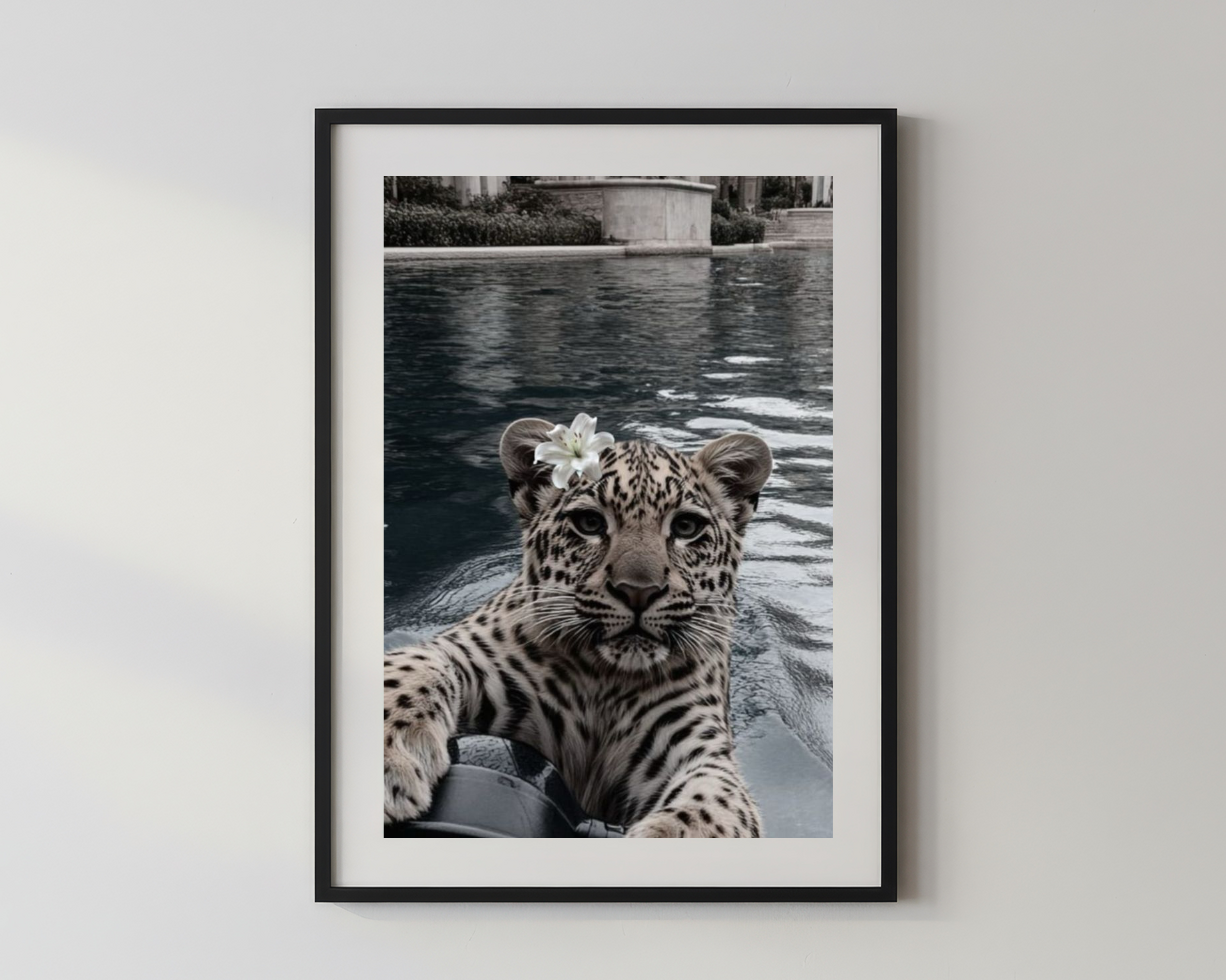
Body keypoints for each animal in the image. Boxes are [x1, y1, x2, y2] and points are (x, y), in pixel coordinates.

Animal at [384, 418, 773, 837]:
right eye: (590, 523)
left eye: (686, 526)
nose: (638, 591)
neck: (605, 682)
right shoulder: (470, 655)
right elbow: (414, 666)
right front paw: (389, 759)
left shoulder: (694, 742)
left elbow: (716, 801)